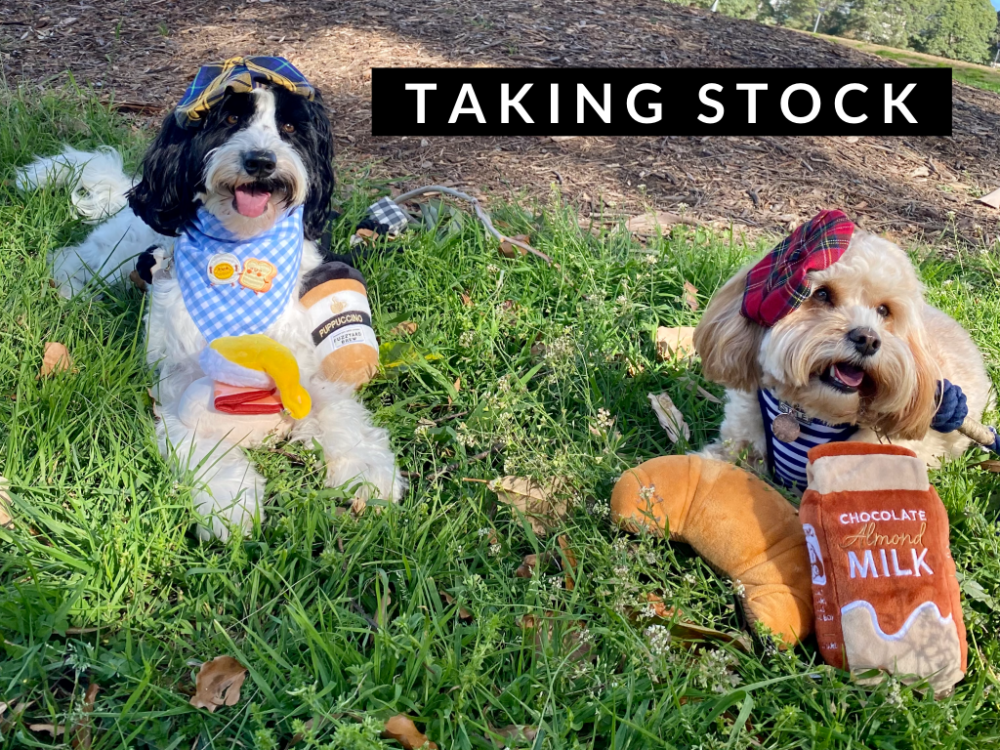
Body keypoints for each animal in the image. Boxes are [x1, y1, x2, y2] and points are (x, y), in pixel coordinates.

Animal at [17, 64, 404, 540]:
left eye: (290, 128)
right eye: (230, 119)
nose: (261, 161)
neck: (241, 252)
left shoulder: (305, 362)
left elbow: (337, 409)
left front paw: (365, 466)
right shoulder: (177, 382)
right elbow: (200, 440)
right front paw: (229, 501)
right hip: (117, 252)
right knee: (72, 258)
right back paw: (73, 293)